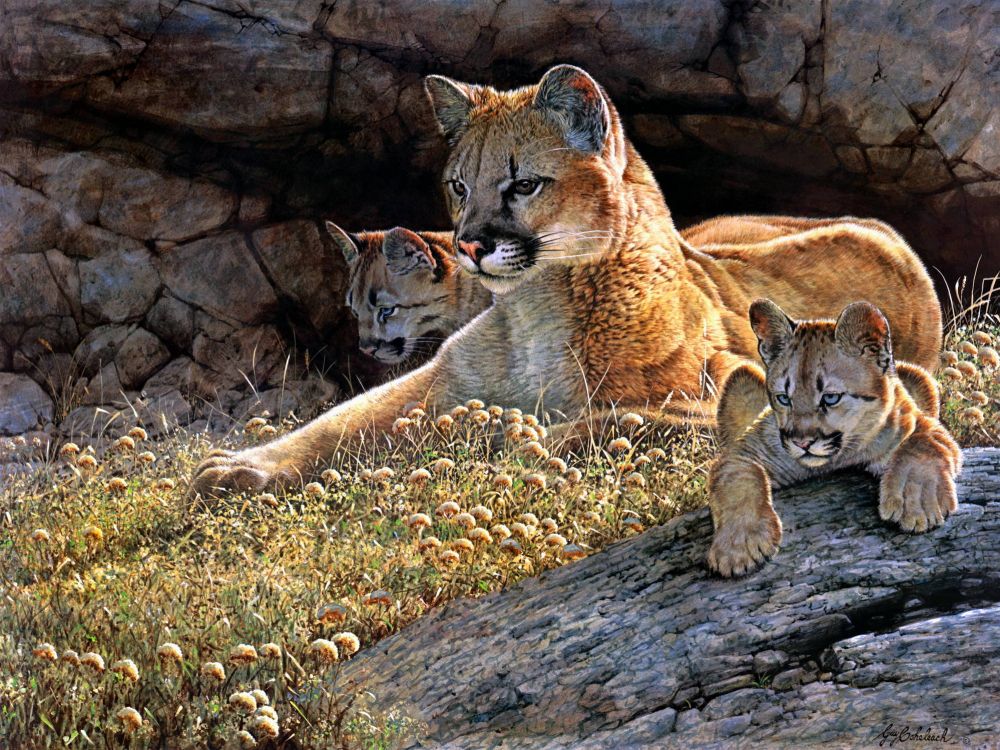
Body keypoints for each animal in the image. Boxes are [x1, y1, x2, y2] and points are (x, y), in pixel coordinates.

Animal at [707, 299, 961, 578]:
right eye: (783, 398)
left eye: (830, 398)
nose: (802, 443)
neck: (835, 461)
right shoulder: (743, 451)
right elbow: (739, 480)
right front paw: (739, 546)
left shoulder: (919, 423)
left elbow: (922, 446)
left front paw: (916, 504)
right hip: (740, 377)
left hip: (921, 377)